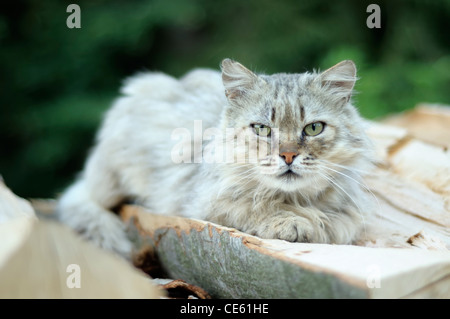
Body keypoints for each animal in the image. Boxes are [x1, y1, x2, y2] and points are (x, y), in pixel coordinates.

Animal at [58, 58, 374, 258]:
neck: (293, 198)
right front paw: (294, 223)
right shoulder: (202, 204)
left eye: (313, 128)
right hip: (109, 181)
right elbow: (253, 208)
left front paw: (316, 223)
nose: (287, 155)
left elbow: (341, 223)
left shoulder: (349, 209)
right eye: (262, 129)